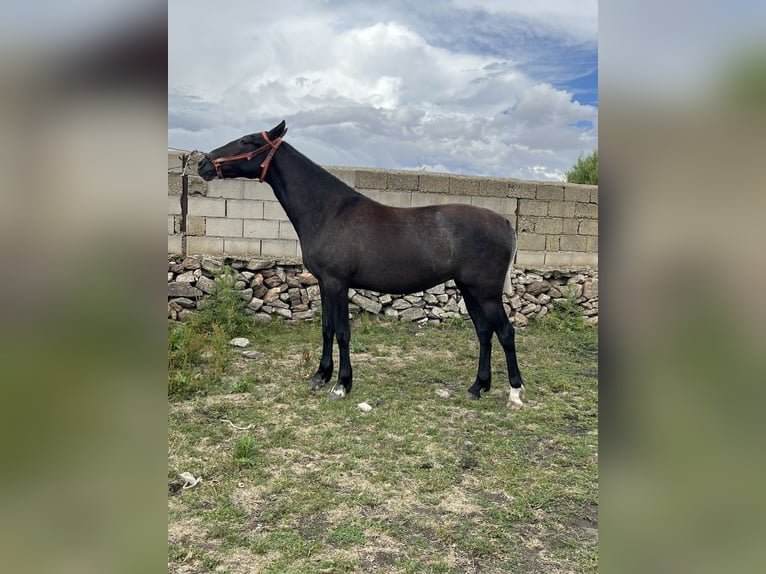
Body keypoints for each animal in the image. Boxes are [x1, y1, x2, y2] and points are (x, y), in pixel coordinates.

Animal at [196, 121, 528, 410]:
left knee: (505, 332)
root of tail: (505, 223)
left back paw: (514, 392)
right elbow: (327, 328)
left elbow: (342, 332)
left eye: (247, 141)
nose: (202, 164)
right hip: (468, 289)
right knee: (484, 332)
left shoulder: (337, 283)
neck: (329, 211)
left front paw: (341, 385)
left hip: (485, 292)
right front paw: (320, 376)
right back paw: (477, 387)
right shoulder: (324, 283)